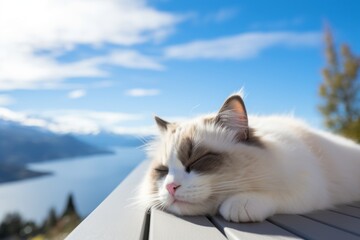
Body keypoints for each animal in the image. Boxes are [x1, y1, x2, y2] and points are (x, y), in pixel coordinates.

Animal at [139, 93, 360, 222]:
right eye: (162, 171)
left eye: (196, 161)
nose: (170, 187)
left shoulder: (309, 187)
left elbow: (274, 195)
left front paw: (238, 205)